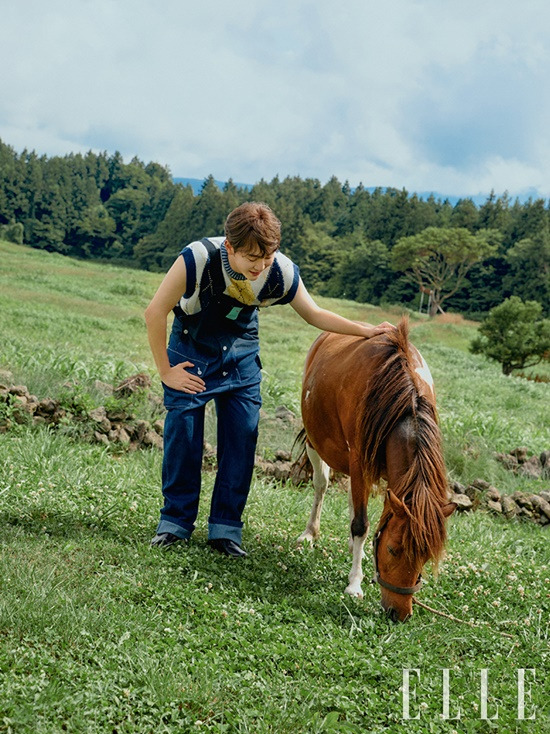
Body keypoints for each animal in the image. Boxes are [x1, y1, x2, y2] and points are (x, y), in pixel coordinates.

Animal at [298, 320, 458, 624]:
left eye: (425, 557)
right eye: (393, 550)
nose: (400, 613)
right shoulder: (360, 460)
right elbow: (361, 524)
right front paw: (354, 583)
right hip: (315, 442)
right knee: (321, 485)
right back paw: (311, 532)